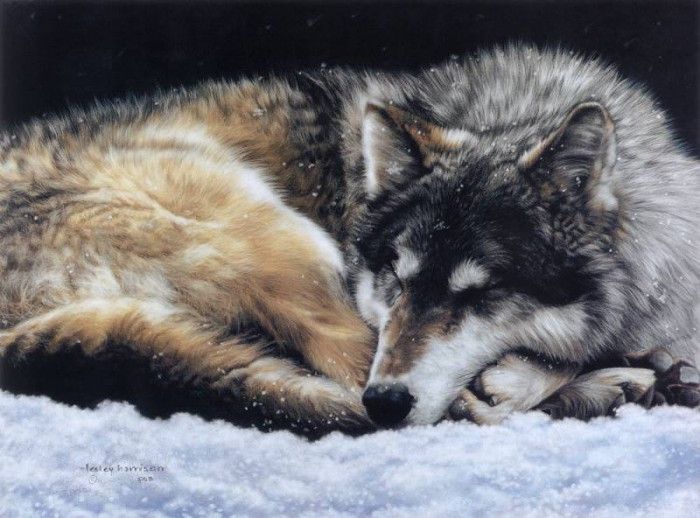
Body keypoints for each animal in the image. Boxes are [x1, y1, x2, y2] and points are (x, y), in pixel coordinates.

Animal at [0, 45, 697, 435]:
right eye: (396, 277)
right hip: (290, 243)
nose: (387, 402)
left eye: (479, 295)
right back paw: (613, 387)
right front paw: (597, 375)